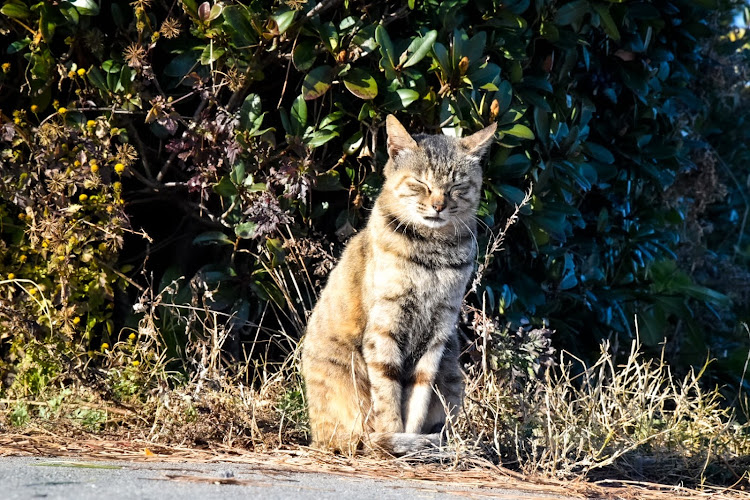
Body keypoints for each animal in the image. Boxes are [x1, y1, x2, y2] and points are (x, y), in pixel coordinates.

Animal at [300, 115, 500, 456]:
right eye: (421, 183)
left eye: (456, 186)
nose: (438, 205)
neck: (432, 255)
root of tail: (317, 437)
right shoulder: (385, 327)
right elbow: (387, 394)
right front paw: (395, 438)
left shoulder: (437, 334)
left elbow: (418, 396)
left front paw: (412, 436)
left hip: (451, 372)